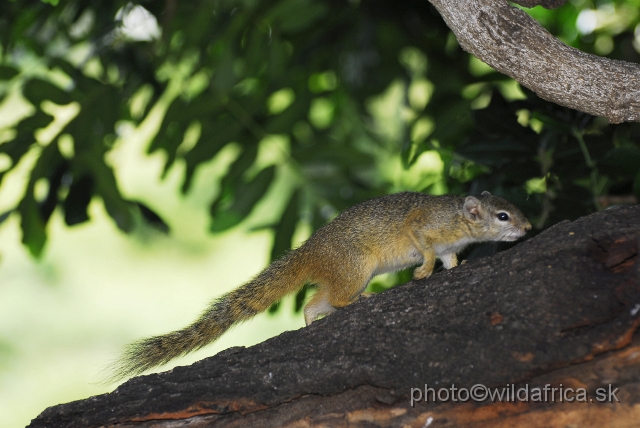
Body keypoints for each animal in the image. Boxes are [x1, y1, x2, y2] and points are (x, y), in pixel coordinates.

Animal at [109, 191, 528, 382]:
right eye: (502, 216)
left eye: (513, 207)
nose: (527, 227)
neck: (458, 219)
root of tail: (309, 252)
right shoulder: (424, 227)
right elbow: (424, 248)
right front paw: (424, 272)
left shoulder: (449, 247)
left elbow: (449, 260)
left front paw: (457, 268)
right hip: (356, 269)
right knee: (337, 299)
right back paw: (359, 301)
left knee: (314, 304)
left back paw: (312, 324)